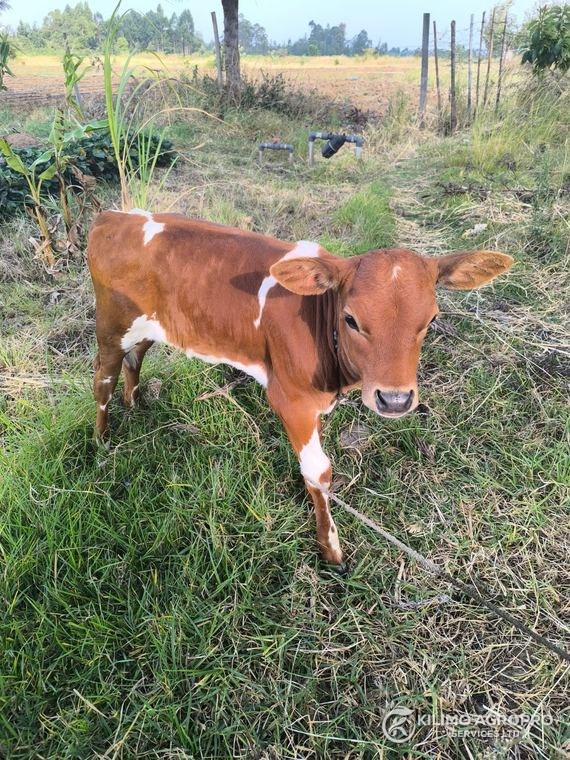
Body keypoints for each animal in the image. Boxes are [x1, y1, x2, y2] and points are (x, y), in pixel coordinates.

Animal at [87, 209, 513, 565]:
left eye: (431, 319)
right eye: (351, 319)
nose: (394, 399)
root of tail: (114, 216)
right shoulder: (290, 399)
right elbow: (318, 471)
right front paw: (331, 548)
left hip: (148, 325)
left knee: (136, 358)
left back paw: (135, 404)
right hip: (110, 326)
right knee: (103, 379)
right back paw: (103, 442)